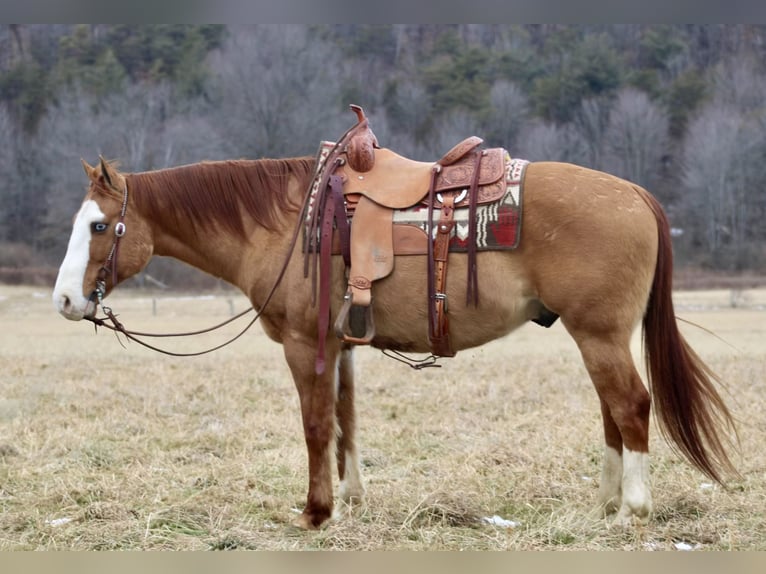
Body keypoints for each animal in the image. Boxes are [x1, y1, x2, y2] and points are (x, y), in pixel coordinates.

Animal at [52, 136, 736, 532]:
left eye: (97, 226)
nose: (64, 300)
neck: (285, 224)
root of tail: (636, 195)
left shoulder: (304, 345)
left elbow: (315, 424)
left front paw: (316, 511)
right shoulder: (338, 346)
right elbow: (347, 420)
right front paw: (352, 497)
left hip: (600, 335)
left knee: (631, 406)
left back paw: (634, 509)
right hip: (595, 338)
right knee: (611, 414)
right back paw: (604, 504)